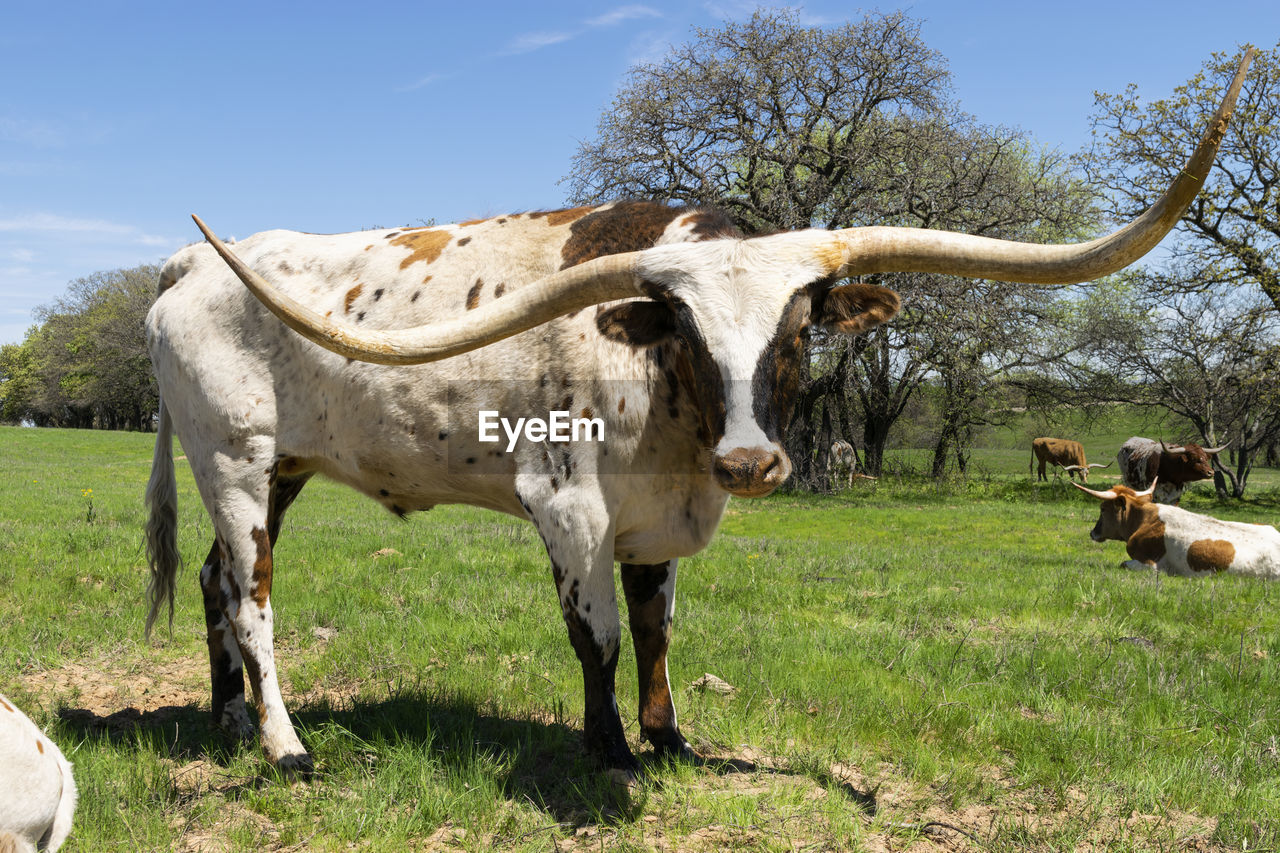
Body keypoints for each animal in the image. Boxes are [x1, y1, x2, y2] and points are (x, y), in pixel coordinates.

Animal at [142, 54, 1249, 778]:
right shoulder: (569, 507)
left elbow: (657, 627)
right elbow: (596, 636)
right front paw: (610, 752)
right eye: (681, 328)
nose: (752, 465)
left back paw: (227, 722)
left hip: (280, 468)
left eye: (800, 330)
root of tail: (196, 259)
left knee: (212, 581)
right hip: (235, 461)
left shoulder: (657, 516)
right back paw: (284, 745)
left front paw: (669, 737)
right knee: (252, 594)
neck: (673, 427)